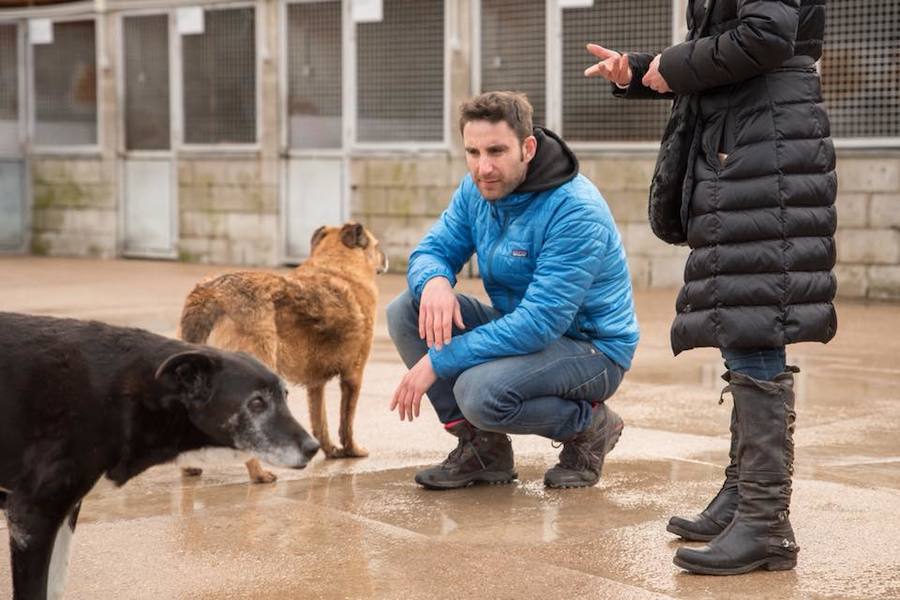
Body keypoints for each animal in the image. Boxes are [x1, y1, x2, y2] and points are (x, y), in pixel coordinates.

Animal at [0, 314, 322, 600]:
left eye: (285, 395)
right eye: (256, 403)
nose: (313, 447)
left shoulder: (63, 510)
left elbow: (56, 587)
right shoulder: (32, 516)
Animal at [178, 221, 384, 482]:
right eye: (377, 246)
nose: (385, 258)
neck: (338, 266)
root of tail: (211, 294)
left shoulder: (316, 386)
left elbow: (321, 423)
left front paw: (330, 451)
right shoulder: (353, 377)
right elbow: (346, 422)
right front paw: (352, 450)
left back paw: (190, 468)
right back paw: (259, 474)